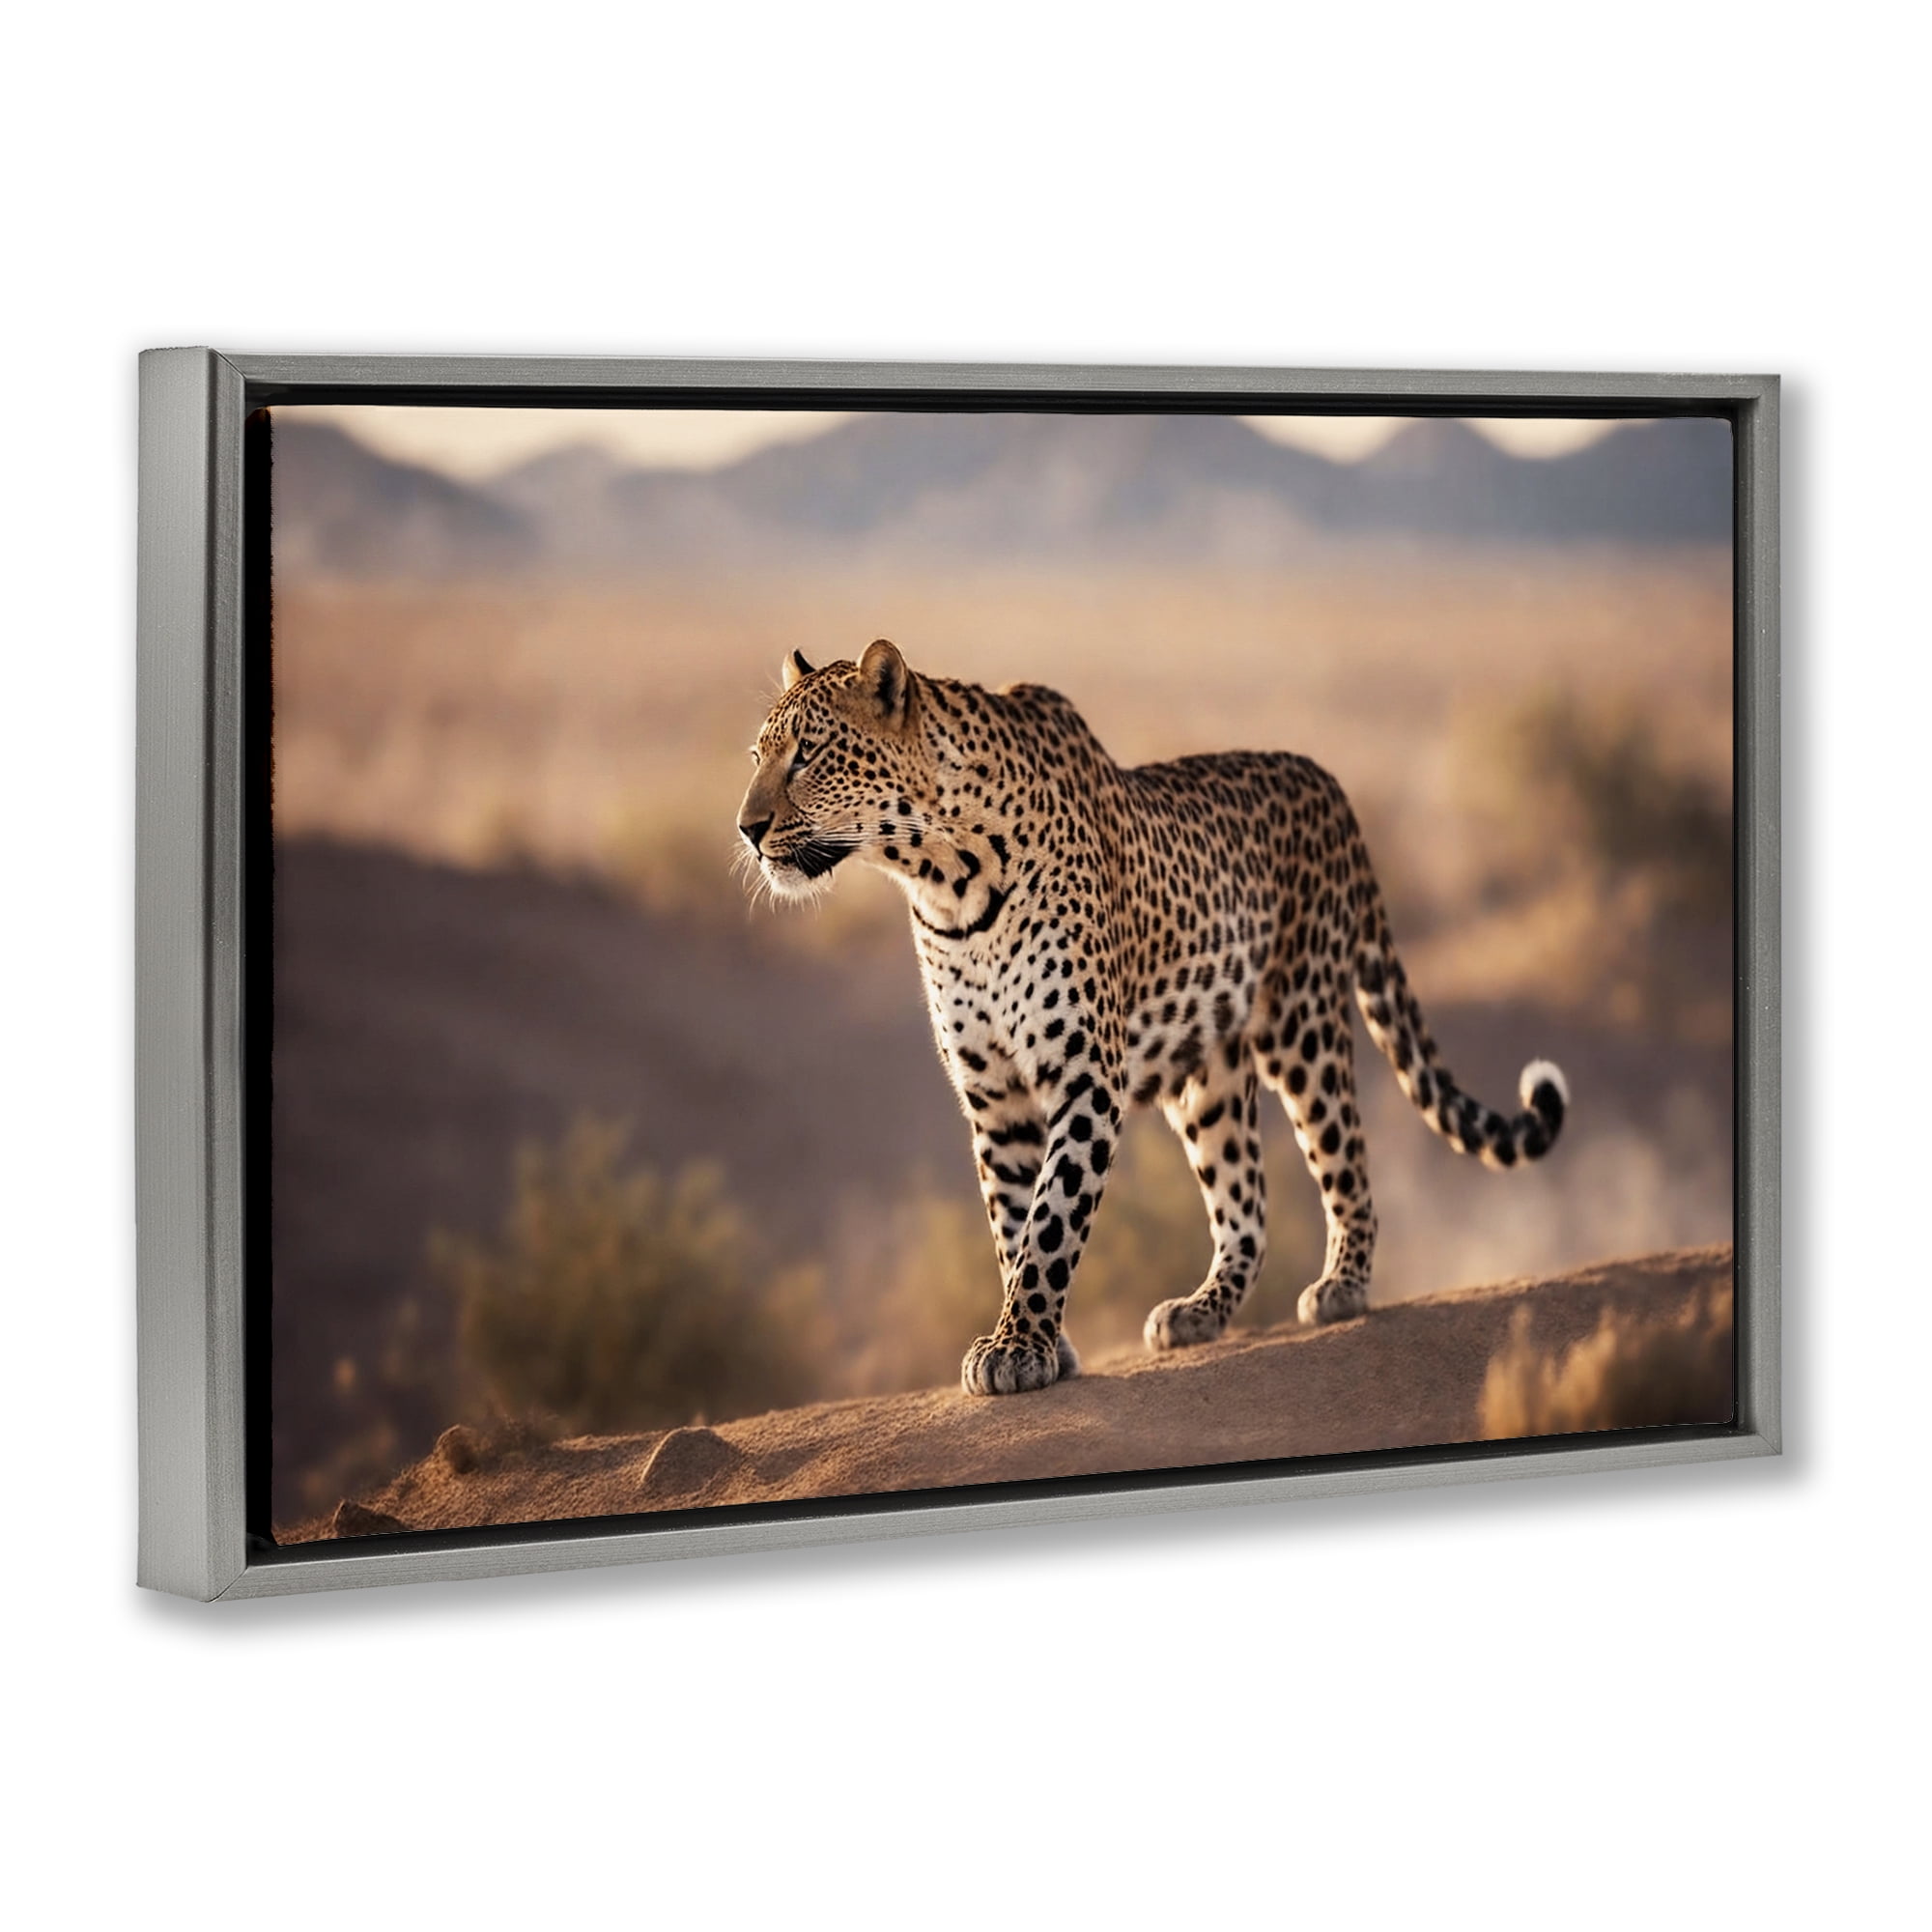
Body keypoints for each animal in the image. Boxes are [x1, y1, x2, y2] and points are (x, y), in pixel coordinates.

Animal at [737, 639, 1568, 1397]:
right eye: (757, 753)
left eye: (808, 754)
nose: (747, 828)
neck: (942, 877)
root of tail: (1329, 783)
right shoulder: (996, 1095)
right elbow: (1012, 1221)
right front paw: (1041, 1344)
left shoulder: (1083, 1078)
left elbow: (1051, 1218)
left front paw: (1019, 1348)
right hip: (1209, 1080)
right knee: (1247, 1203)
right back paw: (1201, 1310)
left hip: (1302, 1025)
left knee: (1345, 1156)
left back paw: (1344, 1286)